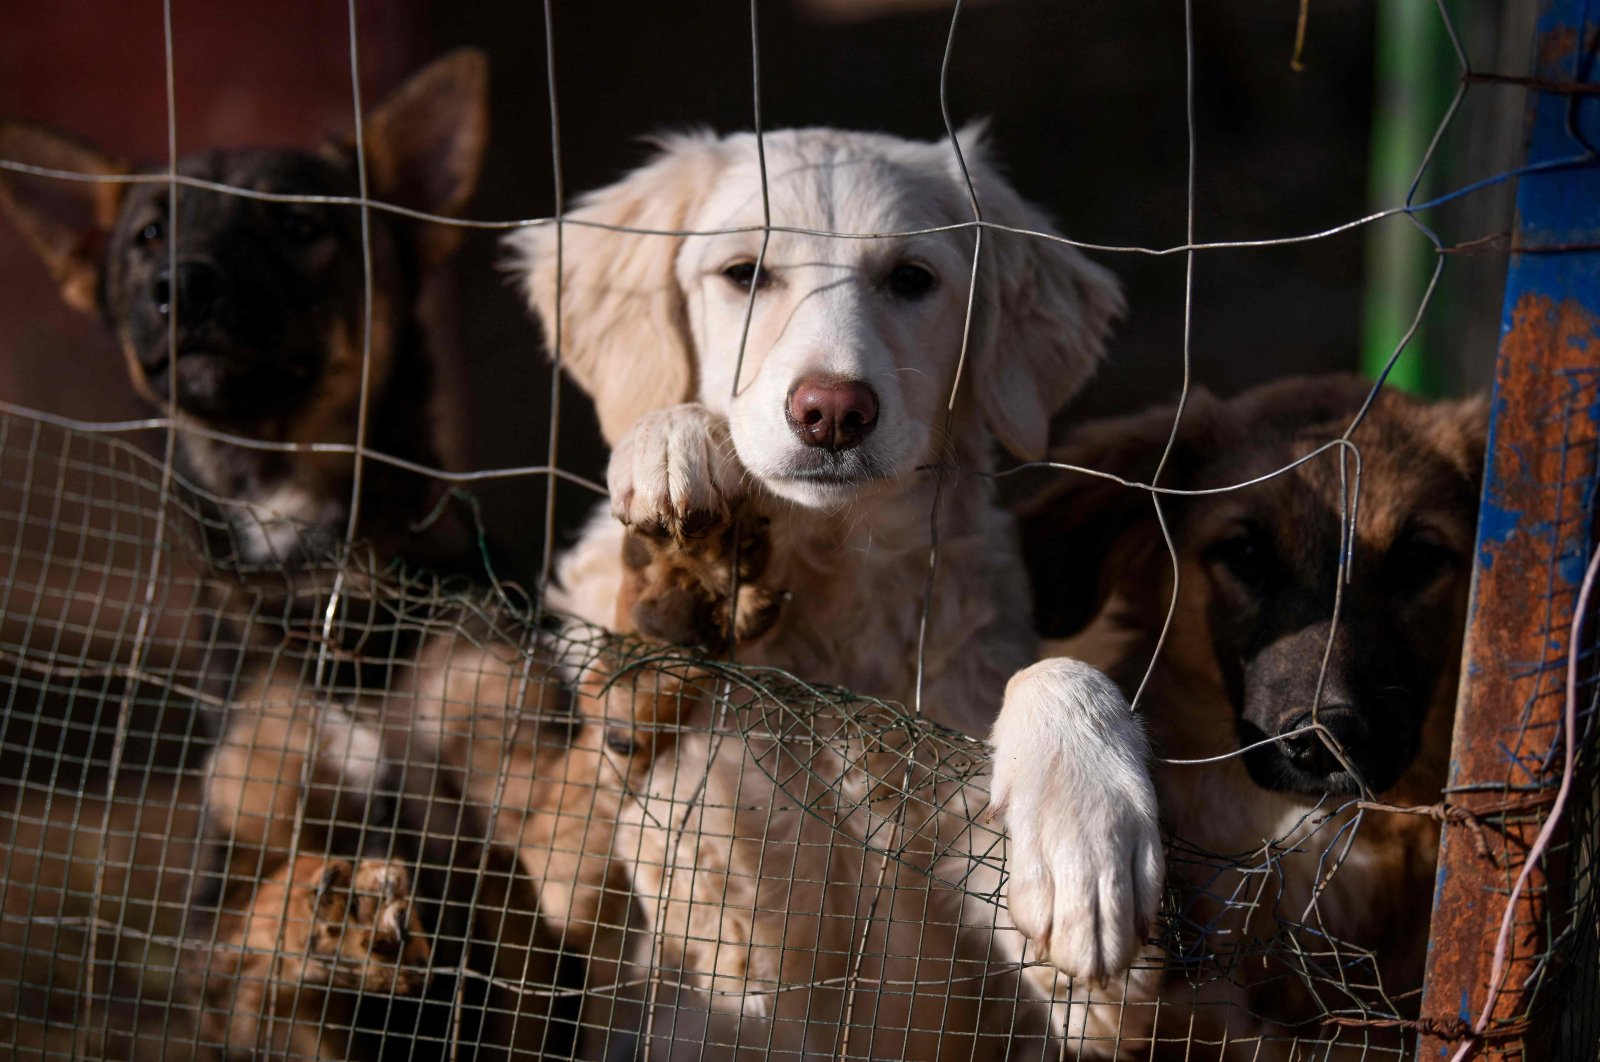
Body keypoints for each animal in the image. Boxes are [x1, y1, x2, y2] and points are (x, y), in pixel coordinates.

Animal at [492, 126, 1171, 1055]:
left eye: (912, 280)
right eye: (742, 273)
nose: (833, 412)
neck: (830, 589)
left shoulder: (1074, 1001)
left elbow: (1058, 674)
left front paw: (1085, 831)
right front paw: (674, 450)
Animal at [1017, 372, 1478, 1055]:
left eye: (1418, 559)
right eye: (1247, 553)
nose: (1323, 741)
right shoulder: (1117, 1025)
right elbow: (1050, 671)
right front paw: (1084, 853)